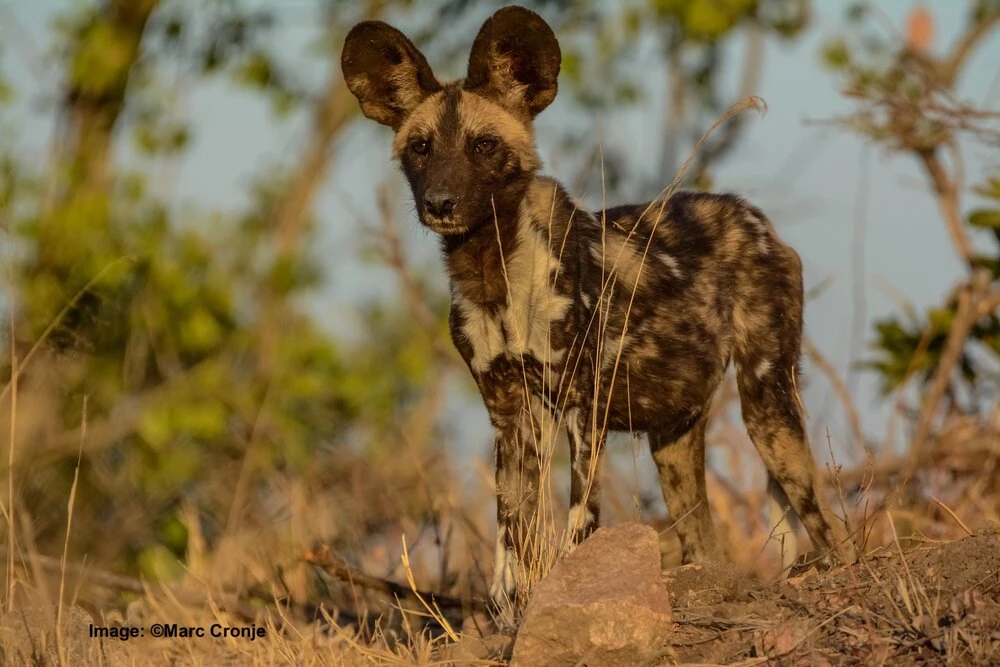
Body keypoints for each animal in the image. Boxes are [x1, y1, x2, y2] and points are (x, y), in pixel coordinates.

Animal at [344, 5, 860, 612]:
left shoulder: (581, 410)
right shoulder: (510, 417)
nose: (440, 203)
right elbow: (510, 535)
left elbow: (577, 525)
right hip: (673, 443)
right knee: (704, 541)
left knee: (831, 534)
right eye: (421, 147)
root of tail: (754, 218)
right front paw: (509, 611)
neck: (494, 272)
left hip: (768, 409)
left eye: (483, 146)